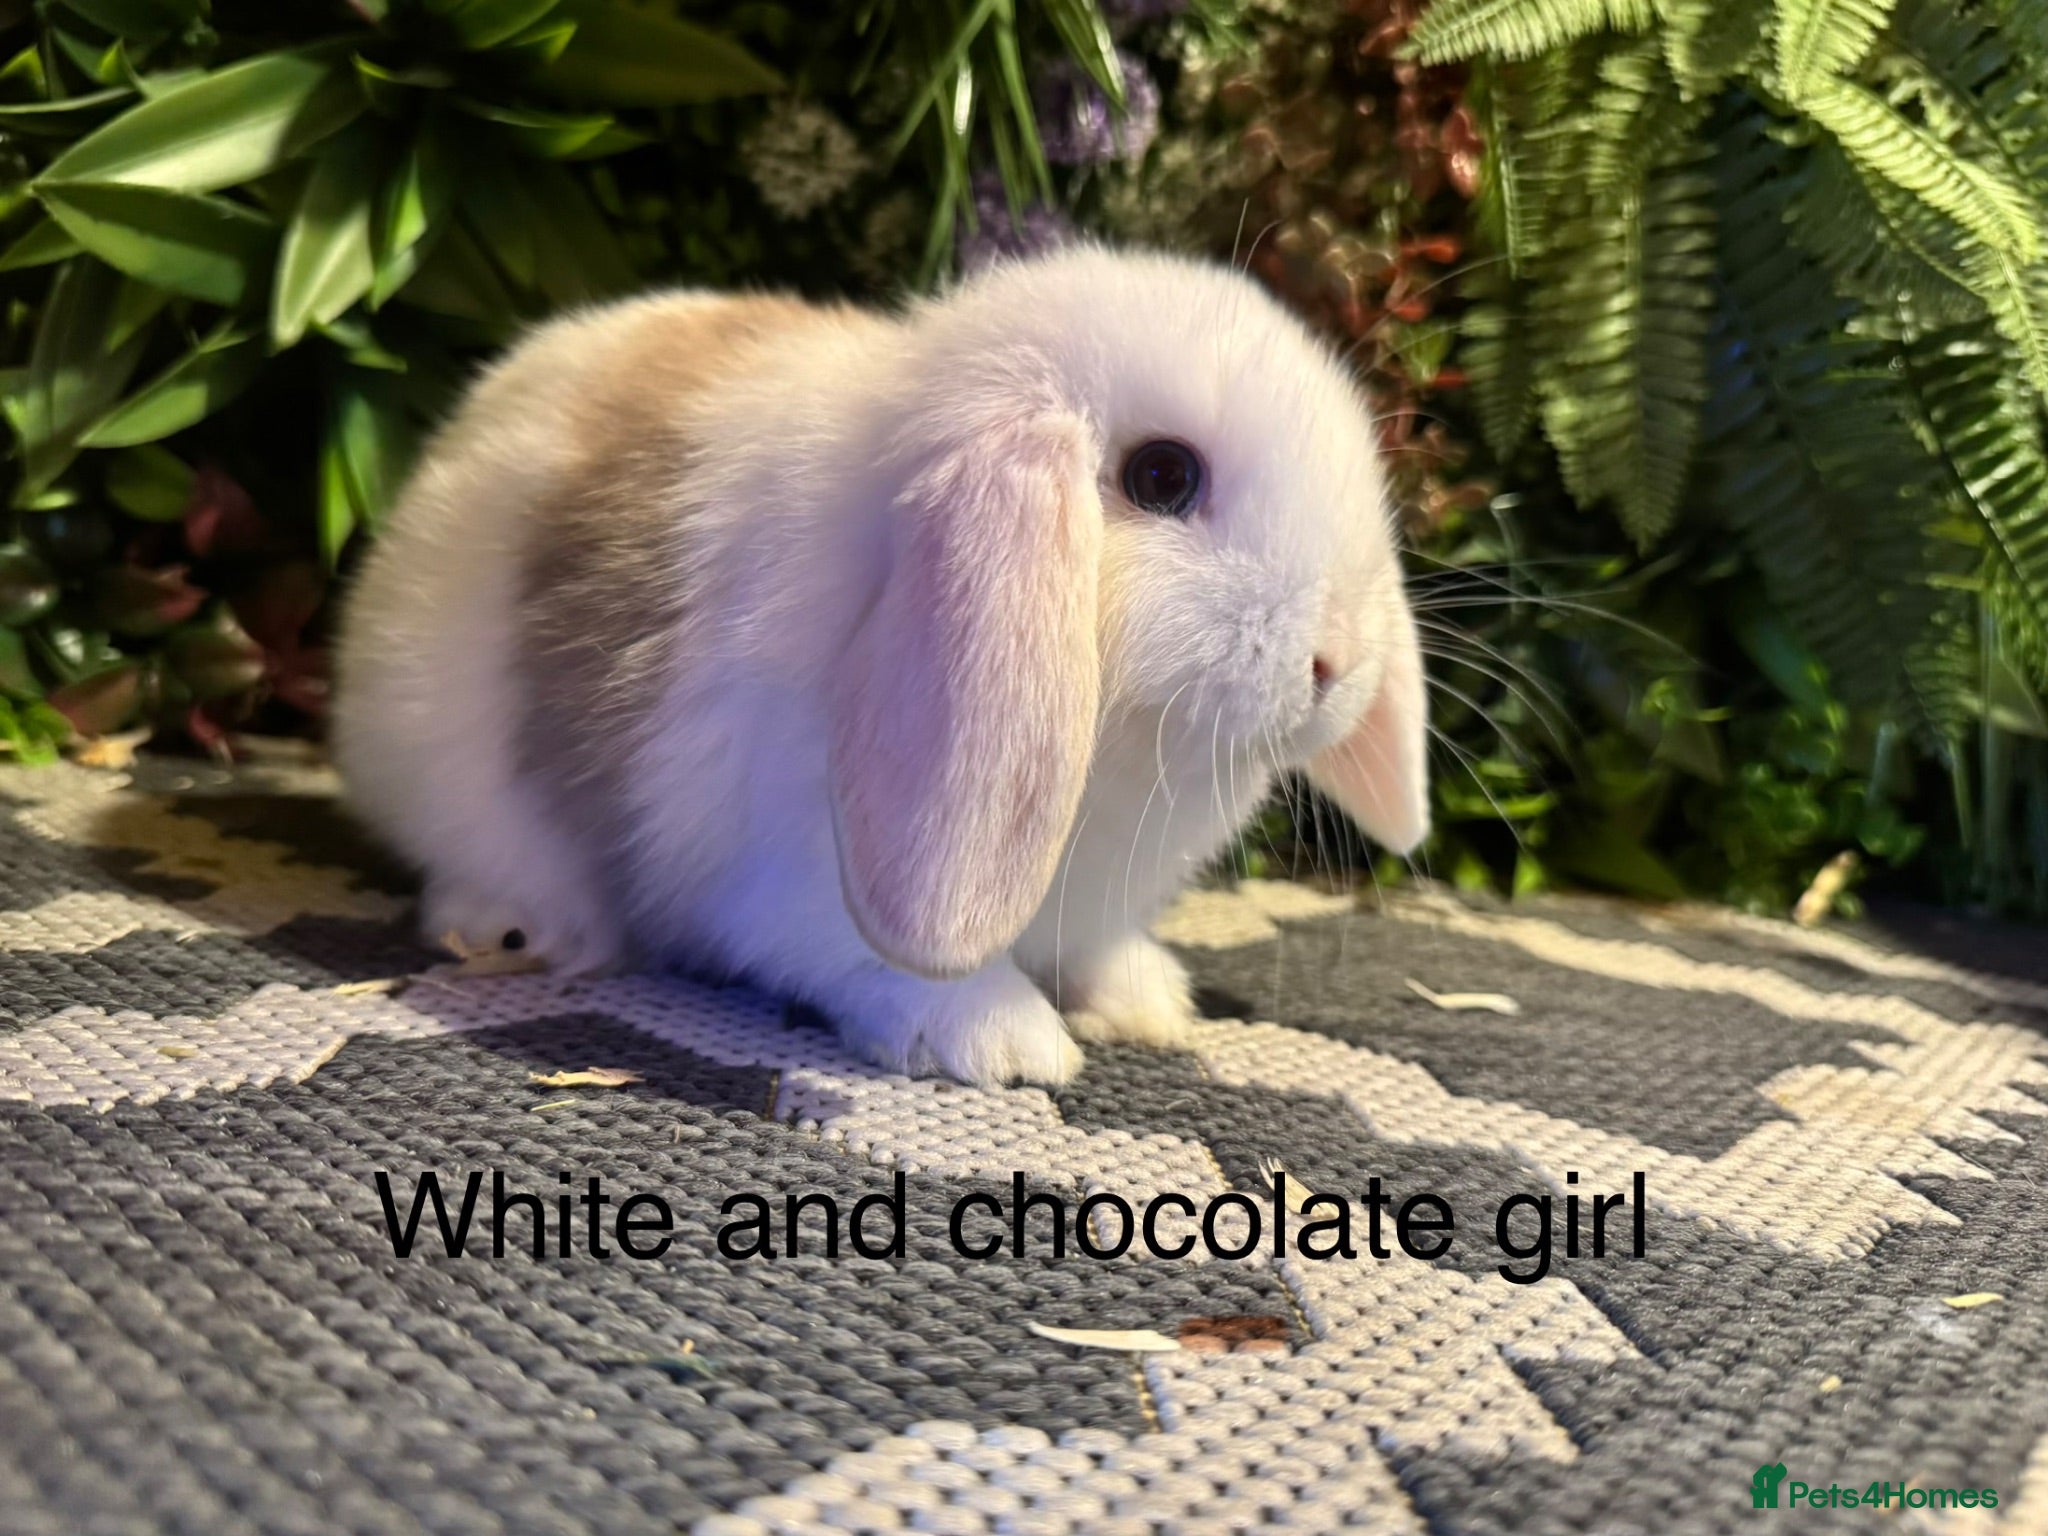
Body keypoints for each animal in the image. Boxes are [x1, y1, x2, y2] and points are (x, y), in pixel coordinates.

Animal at [332, 245, 1428, 1089]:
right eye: (1163, 476)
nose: (1339, 660)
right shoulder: (784, 878)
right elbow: (875, 960)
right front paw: (1004, 1043)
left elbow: (1098, 952)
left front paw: (1145, 1003)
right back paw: (519, 928)